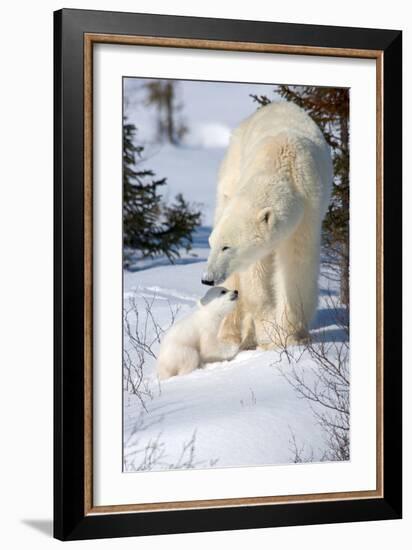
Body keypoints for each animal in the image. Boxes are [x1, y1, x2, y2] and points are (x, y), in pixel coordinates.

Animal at [201, 102, 334, 352]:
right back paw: (231, 335)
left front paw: (289, 336)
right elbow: (255, 275)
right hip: (231, 171)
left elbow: (296, 267)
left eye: (226, 247)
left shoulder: (307, 213)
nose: (207, 278)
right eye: (212, 244)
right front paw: (268, 331)